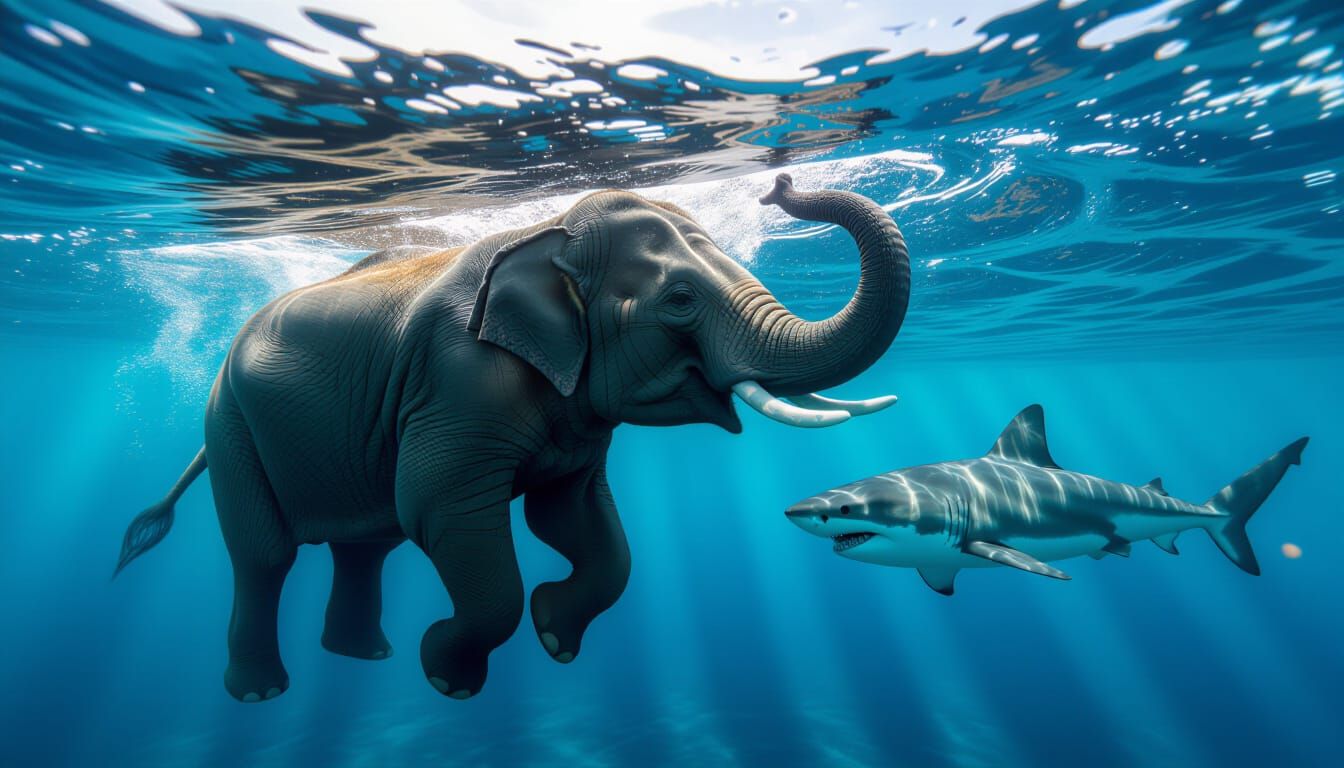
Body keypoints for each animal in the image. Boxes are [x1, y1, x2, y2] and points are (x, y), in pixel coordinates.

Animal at [114, 173, 911, 702]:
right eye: (680, 300)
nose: (779, 183)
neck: (549, 235)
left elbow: (580, 522)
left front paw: (555, 637)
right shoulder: (455, 382)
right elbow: (445, 516)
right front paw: (448, 678)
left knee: (365, 543)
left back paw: (363, 657)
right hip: (231, 425)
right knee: (264, 555)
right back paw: (261, 693)